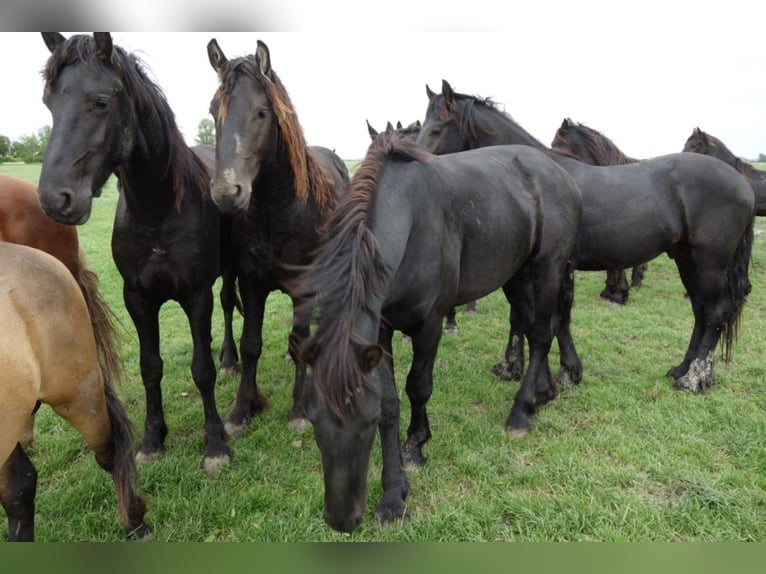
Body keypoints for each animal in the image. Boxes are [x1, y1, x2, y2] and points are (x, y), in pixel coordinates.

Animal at [38, 33, 237, 480]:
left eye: (101, 102)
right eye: (48, 103)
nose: (55, 200)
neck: (158, 209)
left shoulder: (197, 295)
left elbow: (201, 370)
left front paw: (216, 444)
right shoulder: (138, 298)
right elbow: (150, 367)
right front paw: (152, 439)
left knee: (231, 305)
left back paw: (231, 358)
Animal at [204, 39, 348, 436]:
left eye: (261, 112)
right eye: (213, 112)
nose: (226, 193)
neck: (278, 211)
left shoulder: (305, 285)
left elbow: (298, 340)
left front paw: (299, 411)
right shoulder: (251, 282)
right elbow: (251, 344)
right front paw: (241, 410)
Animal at [300, 128, 584, 532]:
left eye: (365, 423)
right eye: (312, 417)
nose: (342, 519)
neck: (410, 219)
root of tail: (560, 173)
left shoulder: (430, 323)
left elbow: (418, 387)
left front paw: (416, 446)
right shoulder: (381, 331)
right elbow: (392, 402)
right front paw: (394, 491)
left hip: (549, 268)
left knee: (544, 333)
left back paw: (521, 411)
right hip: (515, 273)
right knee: (532, 328)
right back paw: (543, 393)